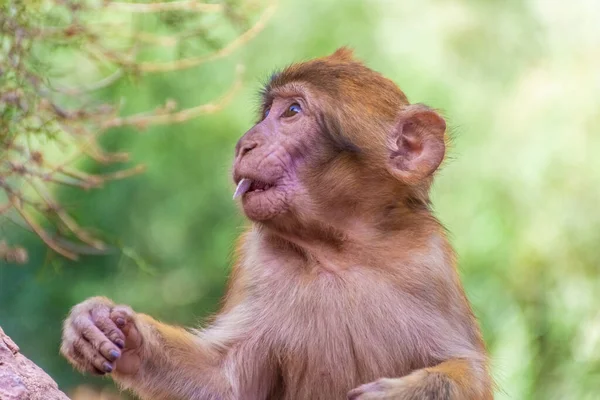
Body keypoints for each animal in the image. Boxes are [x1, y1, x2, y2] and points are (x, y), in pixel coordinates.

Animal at [59, 47, 492, 400]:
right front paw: (109, 328)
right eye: (267, 112)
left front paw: (411, 393)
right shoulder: (258, 262)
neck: (340, 250)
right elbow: (223, 383)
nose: (243, 144)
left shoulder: (428, 262)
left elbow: (469, 369)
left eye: (293, 112)